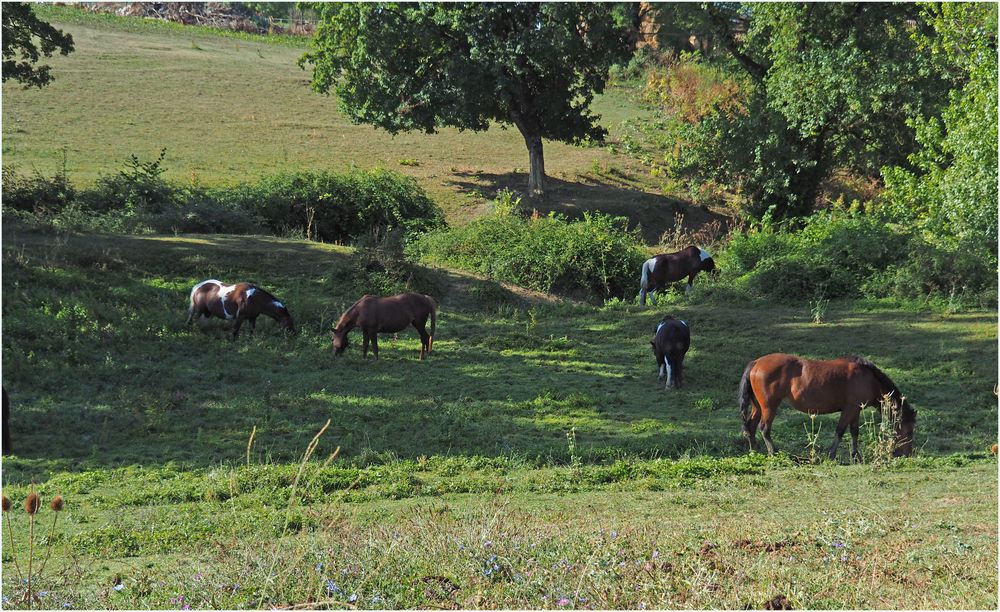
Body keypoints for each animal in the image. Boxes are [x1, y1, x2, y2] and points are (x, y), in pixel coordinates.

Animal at [740, 352, 916, 462]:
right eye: (909, 431)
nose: (906, 455)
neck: (868, 378)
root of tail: (756, 363)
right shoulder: (849, 409)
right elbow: (840, 431)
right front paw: (832, 455)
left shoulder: (856, 410)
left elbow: (854, 432)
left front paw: (855, 456)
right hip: (769, 406)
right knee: (764, 428)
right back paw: (773, 452)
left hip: (758, 406)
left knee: (751, 426)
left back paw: (754, 451)